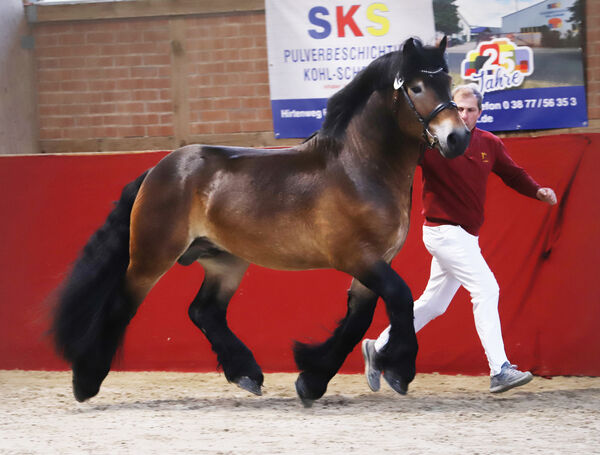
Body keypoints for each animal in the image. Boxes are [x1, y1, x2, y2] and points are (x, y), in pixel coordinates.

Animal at [52, 35, 468, 406]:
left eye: (447, 82)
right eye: (416, 86)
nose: (458, 138)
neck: (359, 168)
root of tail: (158, 169)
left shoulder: (376, 262)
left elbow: (358, 320)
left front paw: (312, 379)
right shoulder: (358, 257)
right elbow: (400, 297)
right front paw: (399, 370)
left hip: (224, 260)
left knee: (204, 311)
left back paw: (247, 373)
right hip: (150, 258)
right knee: (121, 305)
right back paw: (86, 381)